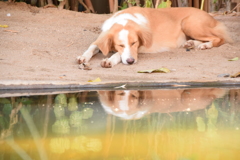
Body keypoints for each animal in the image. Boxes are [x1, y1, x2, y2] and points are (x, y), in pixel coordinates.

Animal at [76, 6, 231, 67]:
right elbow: (91, 48)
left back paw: (205, 45)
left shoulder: (139, 48)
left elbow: (118, 55)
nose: (131, 62)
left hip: (189, 23)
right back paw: (192, 43)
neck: (125, 20)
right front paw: (83, 57)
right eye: (120, 45)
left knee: (220, 38)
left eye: (134, 43)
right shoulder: (102, 38)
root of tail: (212, 17)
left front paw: (110, 60)